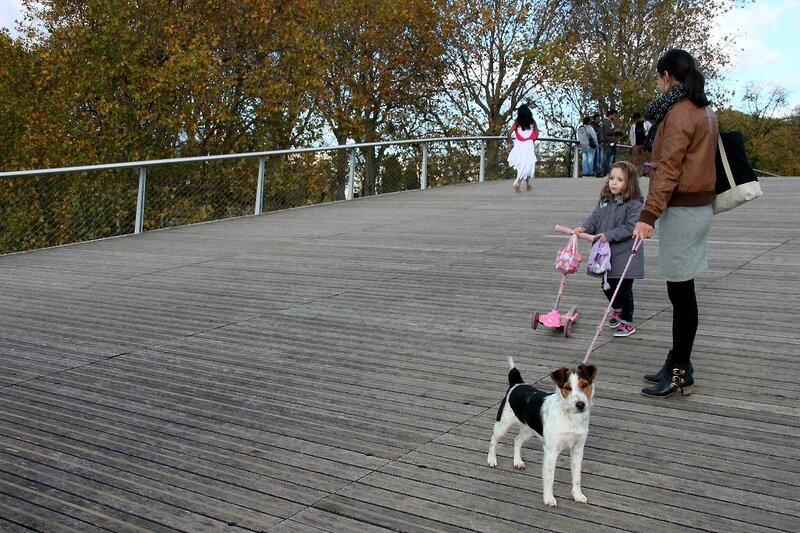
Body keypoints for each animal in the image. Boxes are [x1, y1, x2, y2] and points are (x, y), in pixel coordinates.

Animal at [488, 356, 592, 504]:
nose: (580, 404)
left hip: (528, 430)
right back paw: (491, 460)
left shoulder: (578, 450)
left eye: (584, 385)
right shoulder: (551, 451)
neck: (571, 418)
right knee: (493, 439)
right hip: (502, 425)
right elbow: (549, 477)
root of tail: (516, 384)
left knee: (517, 440)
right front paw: (548, 499)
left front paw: (577, 495)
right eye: (567, 388)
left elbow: (577, 477)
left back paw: (517, 462)